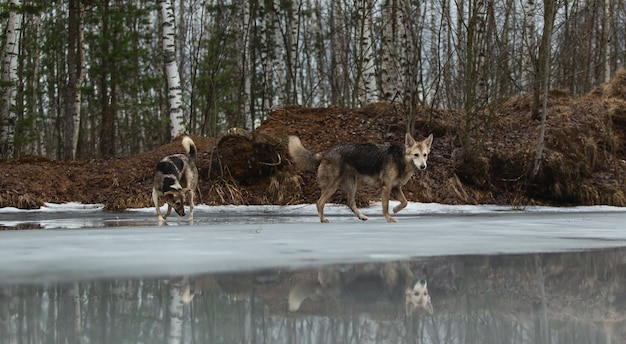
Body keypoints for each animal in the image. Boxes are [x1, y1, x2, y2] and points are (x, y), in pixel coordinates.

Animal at [286, 132, 428, 223]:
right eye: (416, 155)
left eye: (425, 155)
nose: (423, 166)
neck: (401, 159)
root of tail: (326, 152)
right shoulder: (386, 188)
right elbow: (385, 207)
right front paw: (389, 218)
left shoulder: (396, 188)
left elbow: (405, 202)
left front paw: (395, 209)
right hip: (333, 187)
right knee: (319, 203)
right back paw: (323, 219)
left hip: (352, 185)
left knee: (350, 202)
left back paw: (361, 216)